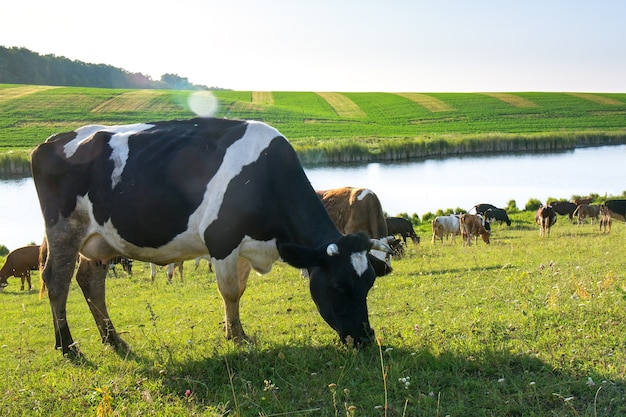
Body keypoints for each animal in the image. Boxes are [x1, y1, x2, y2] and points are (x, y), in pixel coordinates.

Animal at [33, 117, 390, 354]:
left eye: (369, 283)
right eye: (339, 285)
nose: (364, 337)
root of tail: (53, 139)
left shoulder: (244, 245)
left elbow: (240, 290)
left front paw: (238, 333)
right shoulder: (221, 239)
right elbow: (229, 292)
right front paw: (237, 338)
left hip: (99, 240)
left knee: (90, 281)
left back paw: (114, 340)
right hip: (64, 229)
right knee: (57, 281)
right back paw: (68, 347)